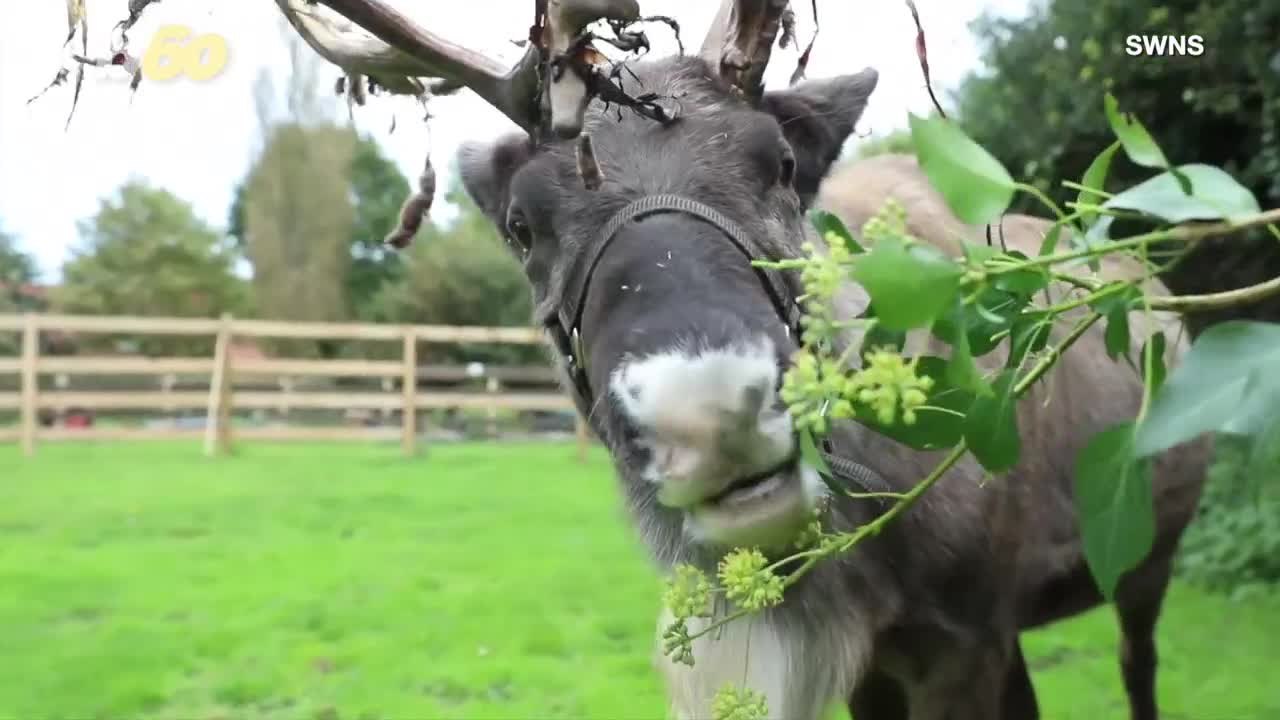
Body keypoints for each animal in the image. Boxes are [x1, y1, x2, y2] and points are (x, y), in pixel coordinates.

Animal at [266, 1, 1211, 718]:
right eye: (522, 226)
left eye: (782, 163)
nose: (707, 412)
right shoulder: (889, 663)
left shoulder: (964, 641)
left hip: (1146, 565)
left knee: (1140, 668)